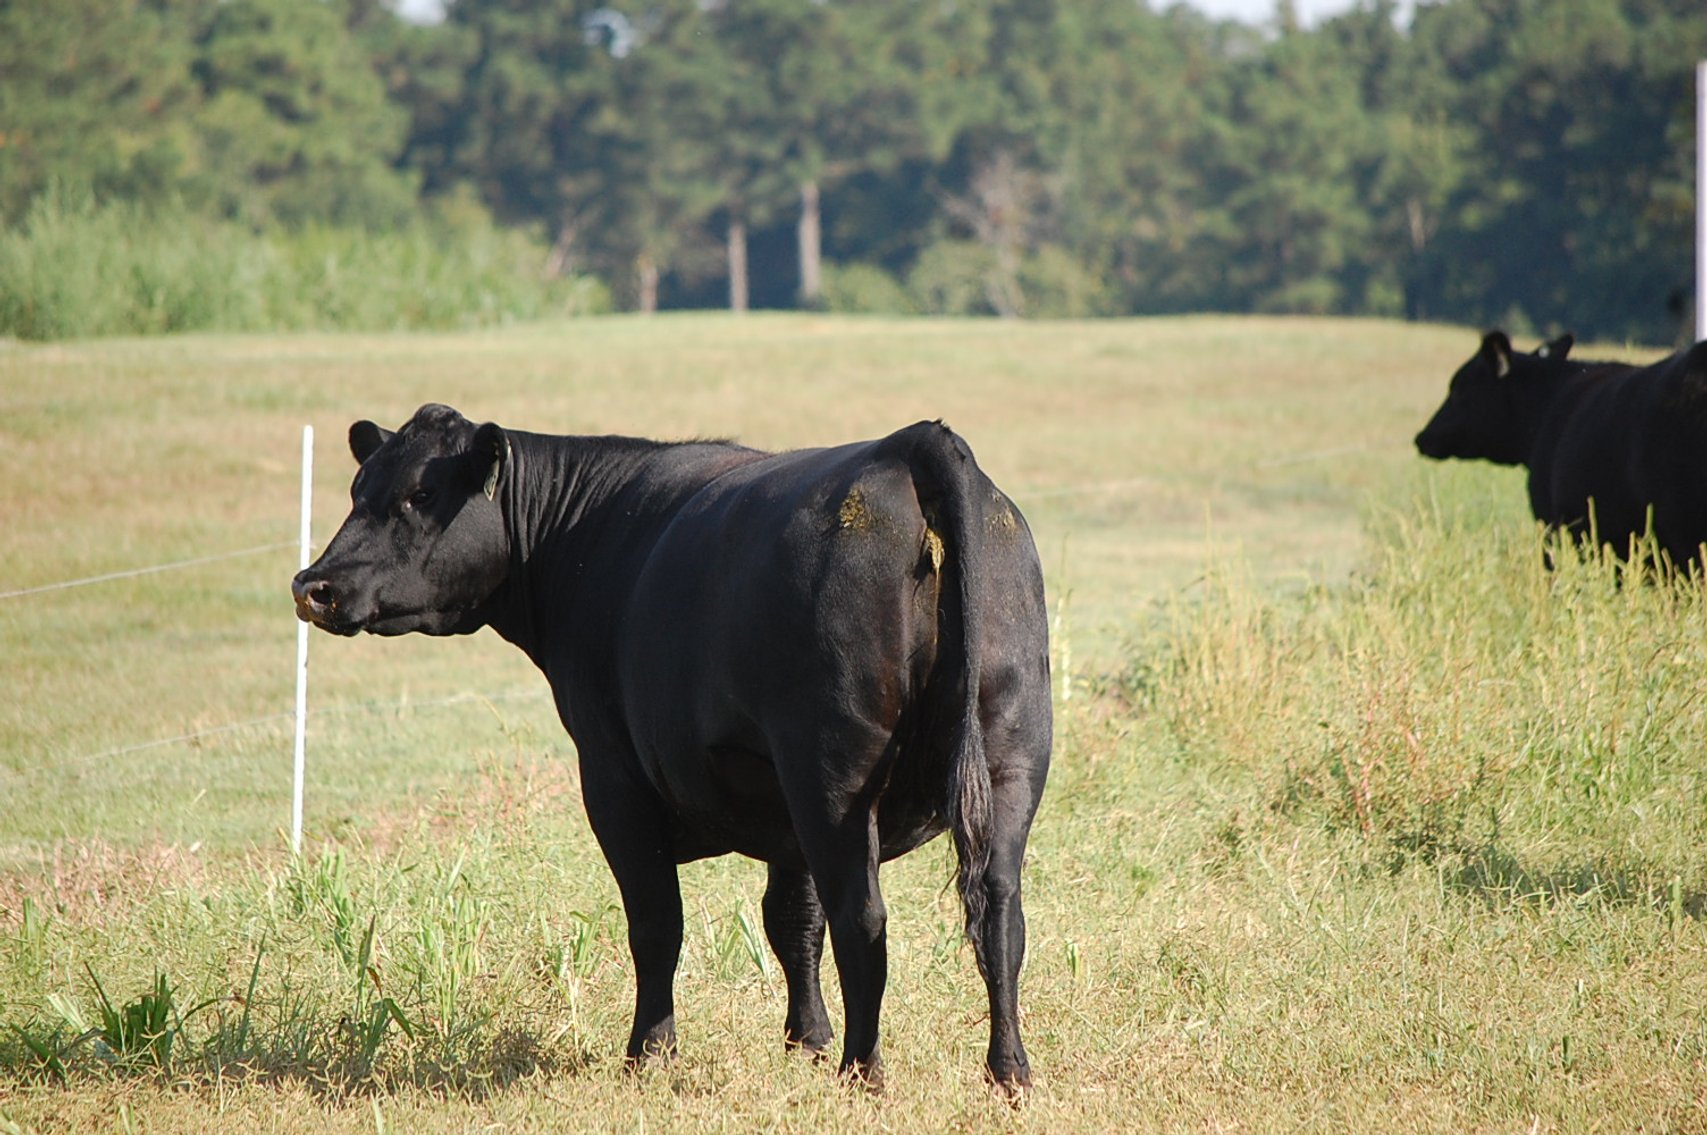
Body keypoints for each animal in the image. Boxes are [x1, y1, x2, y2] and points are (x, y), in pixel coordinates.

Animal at [290, 404, 1052, 1094]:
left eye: (420, 494)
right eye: (359, 489)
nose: (313, 586)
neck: (584, 536)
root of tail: (909, 442)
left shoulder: (614, 780)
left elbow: (657, 925)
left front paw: (648, 1053)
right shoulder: (779, 800)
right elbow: (791, 919)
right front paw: (804, 1041)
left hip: (834, 777)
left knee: (863, 920)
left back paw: (862, 1074)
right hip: (1006, 760)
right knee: (999, 914)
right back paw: (1007, 1071)